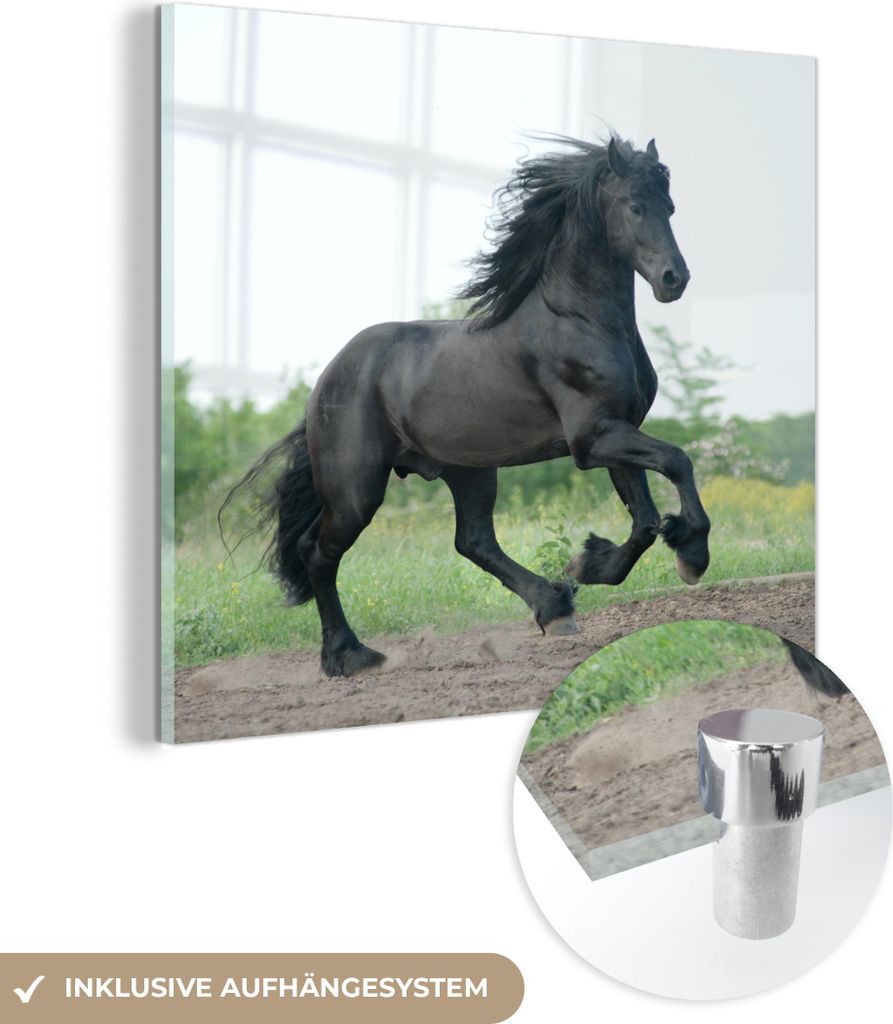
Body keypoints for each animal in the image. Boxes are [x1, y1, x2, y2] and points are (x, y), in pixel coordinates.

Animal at [222, 134, 711, 677]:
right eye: (634, 205)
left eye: (670, 207)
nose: (674, 279)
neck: (578, 321)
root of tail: (326, 381)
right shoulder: (594, 437)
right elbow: (677, 462)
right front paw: (691, 554)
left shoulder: (617, 431)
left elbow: (644, 521)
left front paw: (588, 565)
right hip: (356, 491)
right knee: (318, 552)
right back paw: (349, 656)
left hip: (469, 470)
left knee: (473, 541)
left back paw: (555, 607)